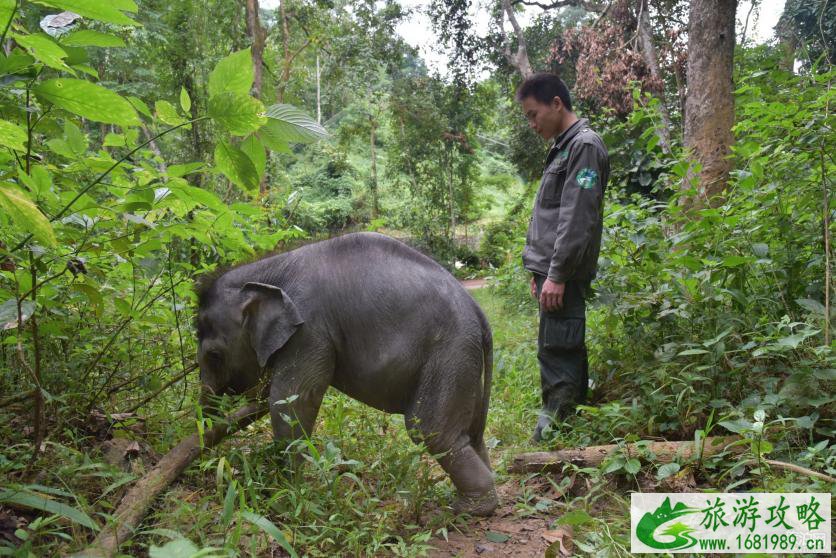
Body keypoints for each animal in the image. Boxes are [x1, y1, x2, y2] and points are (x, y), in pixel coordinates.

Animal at [196, 232, 496, 516]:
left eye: (214, 356)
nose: (208, 465)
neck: (266, 269)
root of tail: (479, 314)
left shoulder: (309, 329)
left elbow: (290, 402)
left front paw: (284, 498)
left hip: (449, 354)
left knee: (431, 430)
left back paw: (468, 509)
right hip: (463, 361)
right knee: (471, 432)